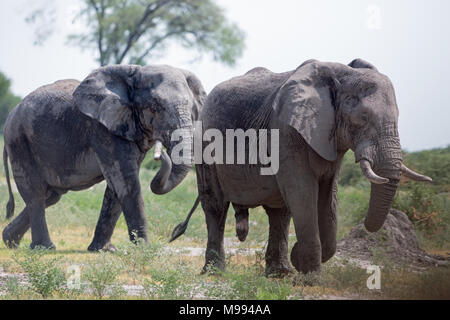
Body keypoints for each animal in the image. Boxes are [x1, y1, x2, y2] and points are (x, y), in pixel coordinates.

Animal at [1, 63, 206, 251]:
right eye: (154, 108)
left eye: (191, 108)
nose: (160, 152)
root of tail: (11, 114)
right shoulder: (103, 130)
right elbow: (127, 181)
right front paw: (144, 249)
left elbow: (116, 187)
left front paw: (104, 250)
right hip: (19, 141)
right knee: (36, 194)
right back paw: (44, 248)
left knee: (51, 196)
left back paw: (10, 242)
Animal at [173, 57, 432, 276]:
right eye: (363, 118)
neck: (339, 75)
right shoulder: (287, 131)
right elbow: (303, 192)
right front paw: (310, 274)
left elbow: (328, 195)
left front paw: (301, 261)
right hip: (204, 142)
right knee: (216, 206)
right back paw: (214, 273)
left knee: (279, 212)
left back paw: (280, 274)